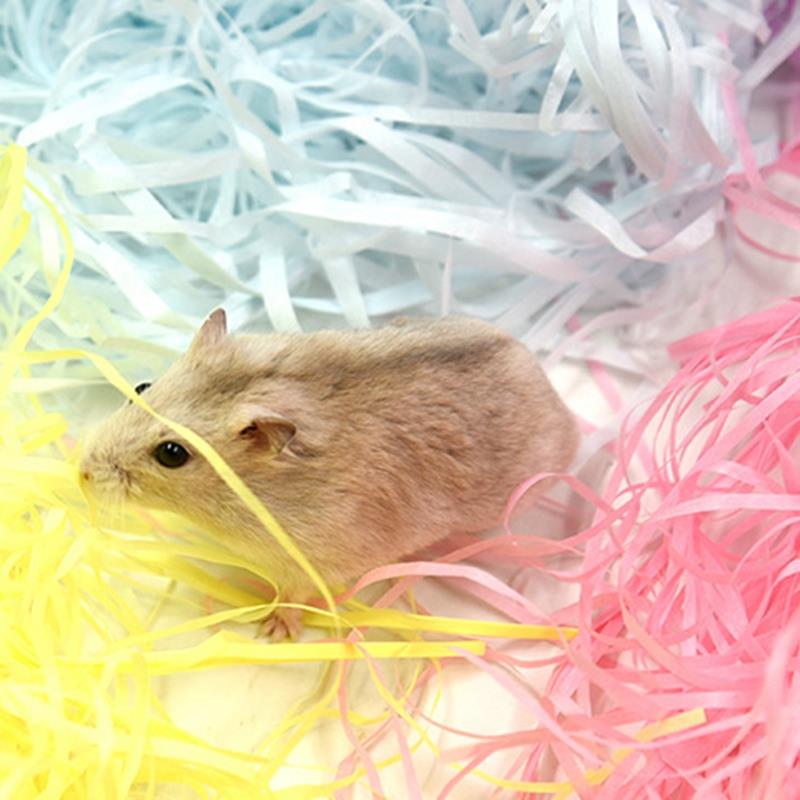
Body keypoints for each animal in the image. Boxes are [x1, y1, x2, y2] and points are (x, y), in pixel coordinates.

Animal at [80, 310, 578, 639]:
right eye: (141, 387)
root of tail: (557, 398)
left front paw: (271, 631)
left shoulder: (313, 561)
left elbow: (293, 595)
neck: (253, 492)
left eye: (171, 453)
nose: (82, 472)